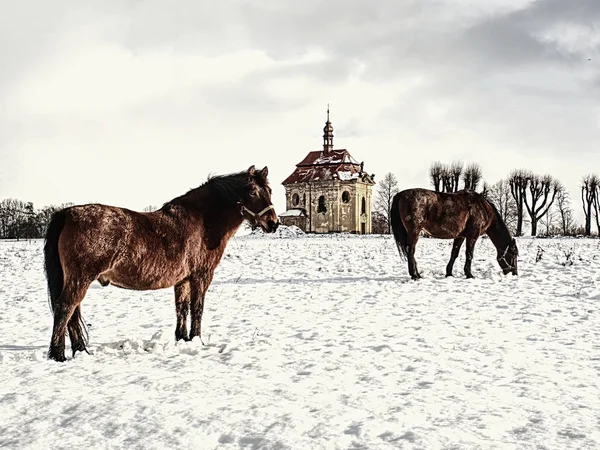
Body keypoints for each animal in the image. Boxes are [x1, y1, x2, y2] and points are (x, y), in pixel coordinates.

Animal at [44, 165, 278, 362]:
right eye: (253, 192)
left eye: (270, 191)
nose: (273, 223)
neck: (203, 222)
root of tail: (67, 213)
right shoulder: (201, 276)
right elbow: (197, 308)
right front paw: (197, 340)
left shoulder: (183, 280)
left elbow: (182, 308)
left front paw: (183, 339)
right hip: (80, 279)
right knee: (65, 308)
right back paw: (59, 355)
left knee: (73, 313)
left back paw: (81, 350)